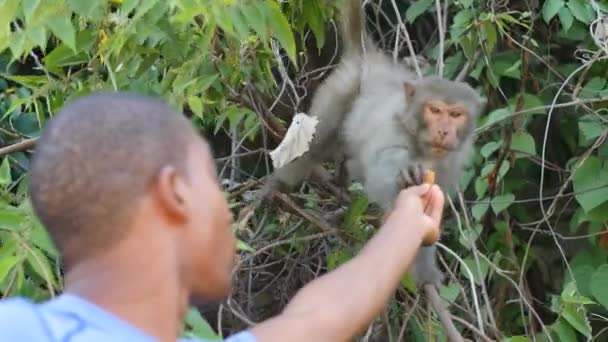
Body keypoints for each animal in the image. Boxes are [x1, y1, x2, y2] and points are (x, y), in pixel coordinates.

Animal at [264, 0, 484, 288]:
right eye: (435, 110)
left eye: (456, 114)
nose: (444, 130)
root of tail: (371, 57)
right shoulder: (392, 136)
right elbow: (384, 177)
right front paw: (405, 183)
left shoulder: (451, 162)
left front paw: (425, 270)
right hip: (341, 88)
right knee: (314, 144)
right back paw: (279, 183)